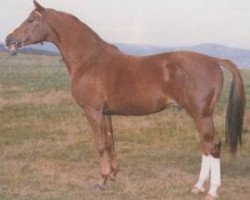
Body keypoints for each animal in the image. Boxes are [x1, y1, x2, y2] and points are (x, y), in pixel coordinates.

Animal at [4, 0, 245, 199]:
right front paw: (113, 176)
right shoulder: (106, 114)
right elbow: (111, 142)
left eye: (30, 19)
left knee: (213, 145)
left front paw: (101, 182)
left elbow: (100, 144)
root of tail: (213, 60)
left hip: (201, 114)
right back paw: (197, 186)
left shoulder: (92, 111)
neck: (90, 60)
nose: (8, 39)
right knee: (206, 146)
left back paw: (212, 191)